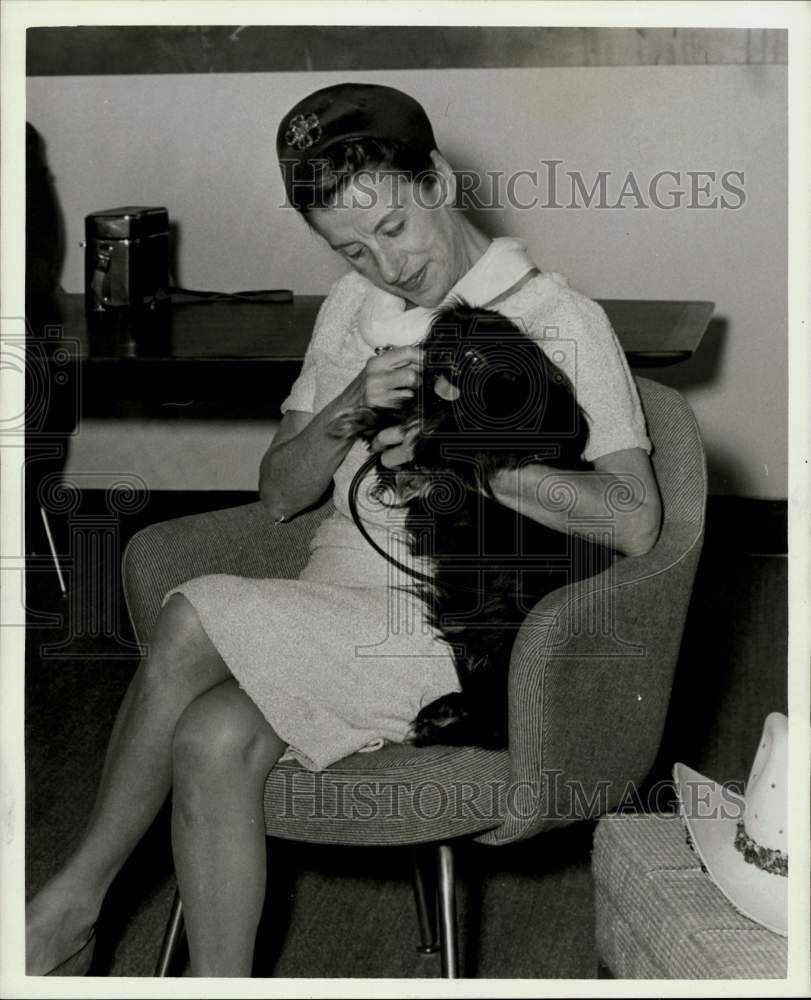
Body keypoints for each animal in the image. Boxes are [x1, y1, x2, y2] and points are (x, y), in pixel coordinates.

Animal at [336, 304, 608, 752]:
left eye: (477, 358)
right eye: (447, 339)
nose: (447, 353)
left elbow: (460, 439)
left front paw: (426, 441)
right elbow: (405, 427)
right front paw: (369, 418)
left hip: (506, 633)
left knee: (496, 724)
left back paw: (437, 727)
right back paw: (442, 712)